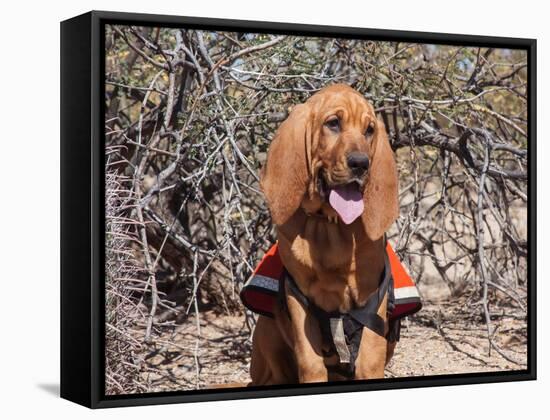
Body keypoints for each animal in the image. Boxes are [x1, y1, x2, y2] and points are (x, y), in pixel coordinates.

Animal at [251, 83, 402, 386]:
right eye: (333, 123)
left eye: (370, 130)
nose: (361, 164)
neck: (330, 226)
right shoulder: (299, 299)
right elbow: (311, 363)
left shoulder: (373, 301)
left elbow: (369, 359)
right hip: (267, 331)